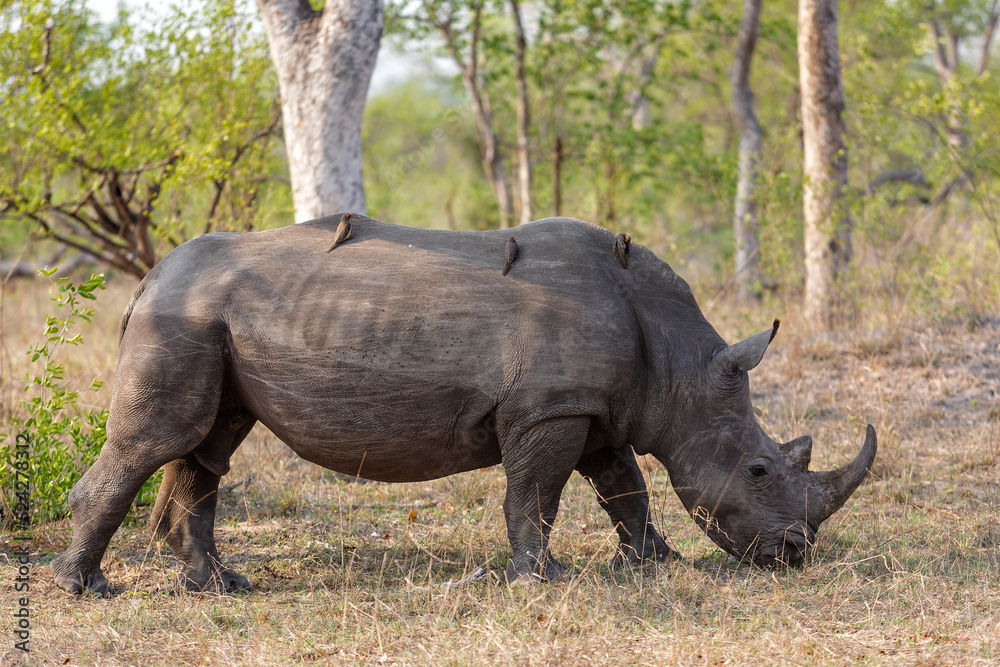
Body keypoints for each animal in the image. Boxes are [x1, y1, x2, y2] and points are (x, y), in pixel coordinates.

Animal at [52, 215, 877, 594]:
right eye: (761, 469)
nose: (795, 553)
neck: (679, 361)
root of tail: (147, 279)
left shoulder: (596, 407)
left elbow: (625, 487)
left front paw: (655, 562)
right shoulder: (550, 409)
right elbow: (536, 494)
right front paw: (542, 578)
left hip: (209, 317)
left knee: (206, 446)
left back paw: (218, 585)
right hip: (181, 318)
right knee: (159, 442)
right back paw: (87, 589)